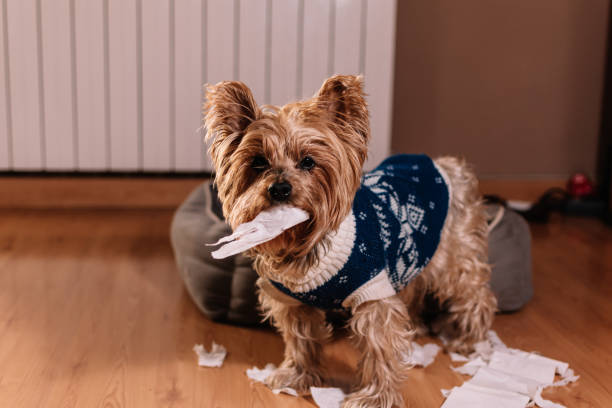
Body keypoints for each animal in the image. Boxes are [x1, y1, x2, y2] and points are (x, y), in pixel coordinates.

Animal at [204, 75, 498, 406]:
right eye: (257, 162)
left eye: (308, 162)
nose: (279, 188)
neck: (305, 245)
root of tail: (446, 165)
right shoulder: (292, 300)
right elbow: (299, 338)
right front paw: (297, 375)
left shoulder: (373, 291)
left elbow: (379, 346)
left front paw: (375, 397)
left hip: (453, 252)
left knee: (474, 292)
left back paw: (470, 340)